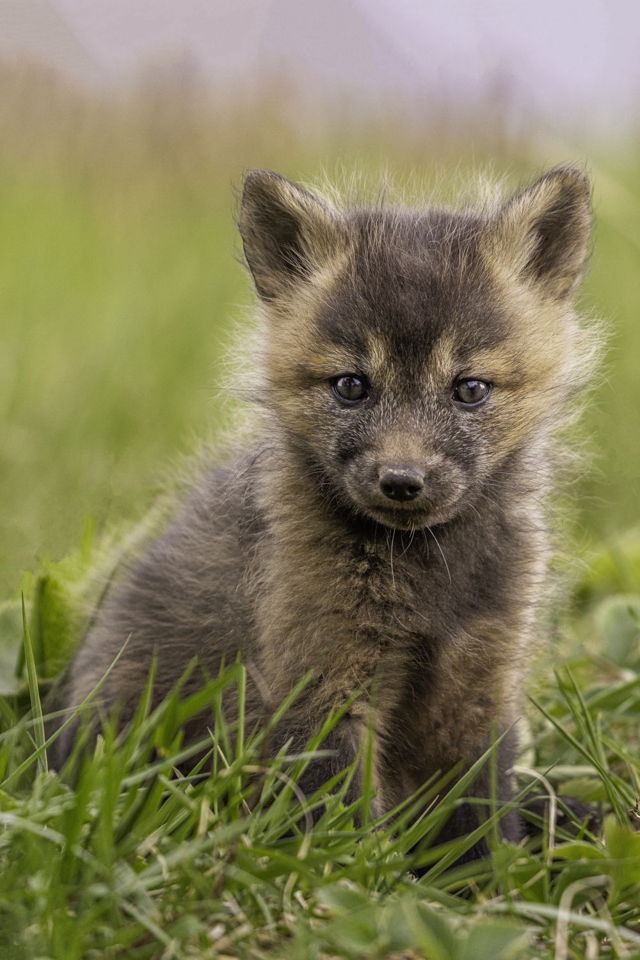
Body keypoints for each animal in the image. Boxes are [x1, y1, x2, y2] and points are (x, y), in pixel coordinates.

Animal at [56, 166, 598, 852]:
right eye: (350, 386)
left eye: (470, 389)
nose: (402, 481)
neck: (427, 580)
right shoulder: (320, 682)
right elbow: (338, 823)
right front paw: (360, 872)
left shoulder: (480, 679)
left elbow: (482, 819)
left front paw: (485, 870)